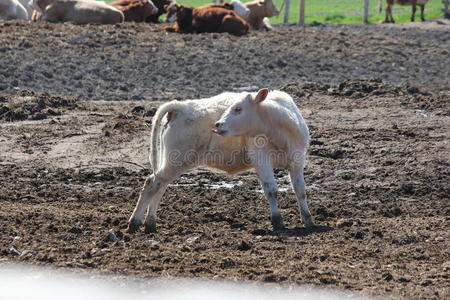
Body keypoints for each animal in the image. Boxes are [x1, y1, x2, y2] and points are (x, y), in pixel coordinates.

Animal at [128, 89, 314, 234]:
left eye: (238, 109)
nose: (218, 124)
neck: (279, 131)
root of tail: (180, 106)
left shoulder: (297, 159)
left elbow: (300, 190)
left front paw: (308, 220)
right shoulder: (262, 159)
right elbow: (271, 190)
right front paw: (277, 222)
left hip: (172, 161)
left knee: (160, 187)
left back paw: (150, 224)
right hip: (177, 160)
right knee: (152, 183)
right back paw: (134, 223)